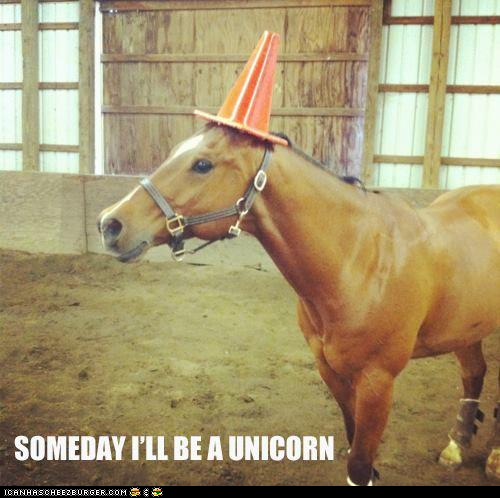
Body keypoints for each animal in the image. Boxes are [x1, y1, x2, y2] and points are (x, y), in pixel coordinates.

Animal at [98, 124, 500, 485]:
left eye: (202, 164)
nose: (110, 224)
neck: (359, 260)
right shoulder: (331, 370)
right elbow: (355, 447)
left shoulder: (377, 382)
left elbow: (360, 463)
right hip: (465, 329)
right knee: (474, 374)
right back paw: (456, 447)